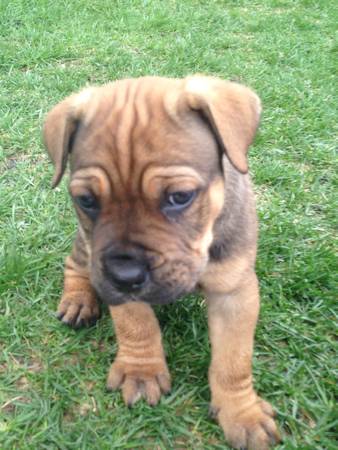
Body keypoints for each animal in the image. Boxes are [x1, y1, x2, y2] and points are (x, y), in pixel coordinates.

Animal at [43, 75, 280, 448]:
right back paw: (78, 300)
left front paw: (242, 413)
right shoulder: (115, 282)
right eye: (86, 200)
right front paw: (141, 371)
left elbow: (234, 360)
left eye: (180, 197)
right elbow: (136, 323)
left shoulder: (235, 292)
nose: (125, 274)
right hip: (86, 248)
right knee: (74, 263)